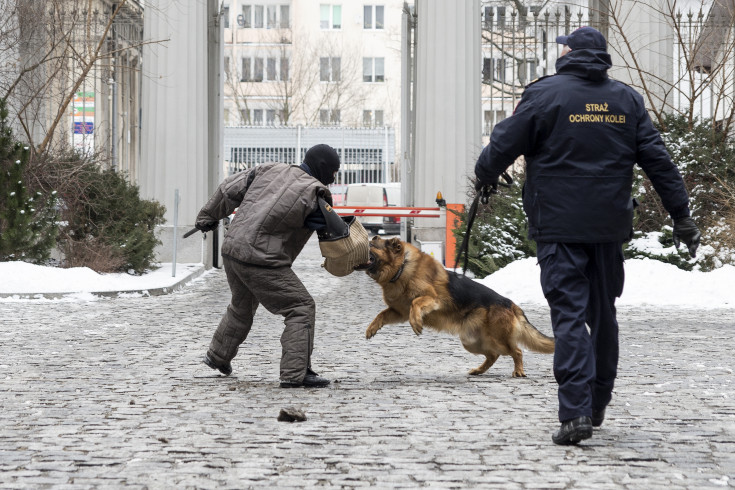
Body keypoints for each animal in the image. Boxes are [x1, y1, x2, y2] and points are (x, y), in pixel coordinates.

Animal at [360, 236, 556, 376]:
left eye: (371, 244)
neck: (402, 268)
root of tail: (511, 303)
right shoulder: (398, 312)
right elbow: (381, 315)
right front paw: (371, 328)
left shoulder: (432, 299)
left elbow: (416, 303)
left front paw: (416, 322)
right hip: (471, 342)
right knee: (493, 355)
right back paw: (479, 370)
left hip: (498, 339)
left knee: (517, 351)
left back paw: (518, 371)